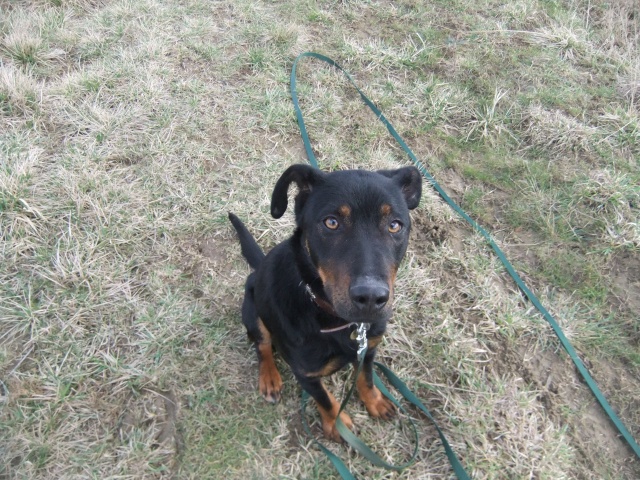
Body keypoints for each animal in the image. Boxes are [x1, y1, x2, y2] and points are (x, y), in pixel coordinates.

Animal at [228, 163, 422, 440]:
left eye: (395, 225)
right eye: (331, 222)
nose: (371, 297)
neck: (337, 320)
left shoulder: (368, 349)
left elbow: (366, 378)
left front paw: (375, 402)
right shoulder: (306, 374)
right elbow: (325, 400)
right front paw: (337, 424)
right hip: (253, 309)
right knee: (262, 345)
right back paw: (269, 378)